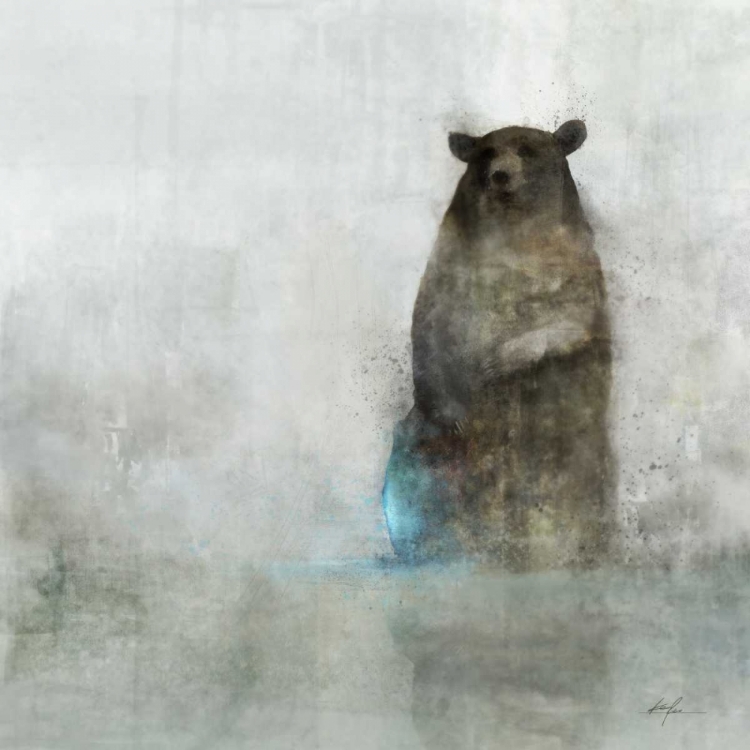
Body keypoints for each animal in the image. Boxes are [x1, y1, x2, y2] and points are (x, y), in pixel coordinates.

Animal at [382, 120, 614, 570]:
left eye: (527, 150)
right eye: (486, 152)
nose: (501, 176)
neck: (513, 235)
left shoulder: (575, 271)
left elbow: (572, 324)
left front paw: (496, 362)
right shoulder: (451, 265)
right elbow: (429, 327)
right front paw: (456, 411)